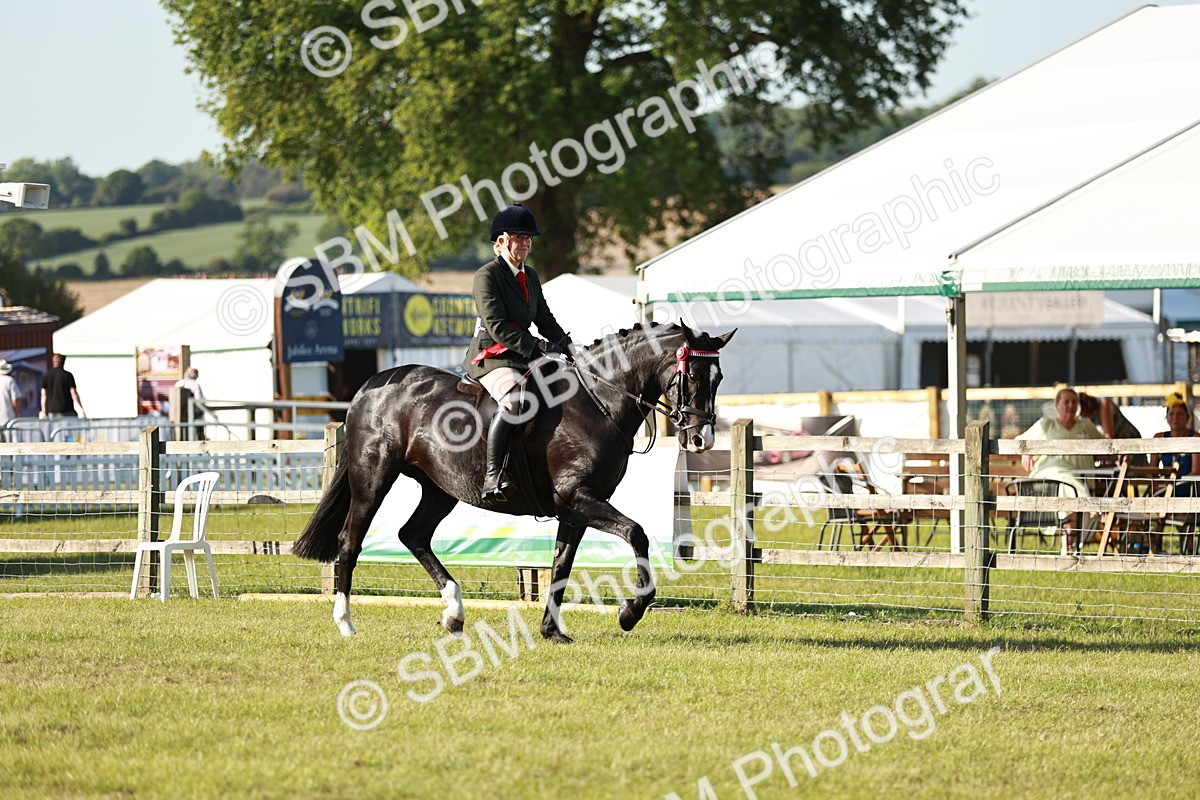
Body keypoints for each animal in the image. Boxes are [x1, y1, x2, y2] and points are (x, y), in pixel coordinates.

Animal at [292, 321, 735, 642]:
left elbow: (561, 565)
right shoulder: (579, 498)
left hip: (440, 488)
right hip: (373, 477)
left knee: (413, 535)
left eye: (718, 378)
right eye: (692, 375)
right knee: (350, 541)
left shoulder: (574, 507)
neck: (595, 403)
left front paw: (552, 631)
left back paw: (453, 613)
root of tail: (372, 386)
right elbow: (637, 534)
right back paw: (346, 623)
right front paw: (629, 612)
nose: (702, 439)